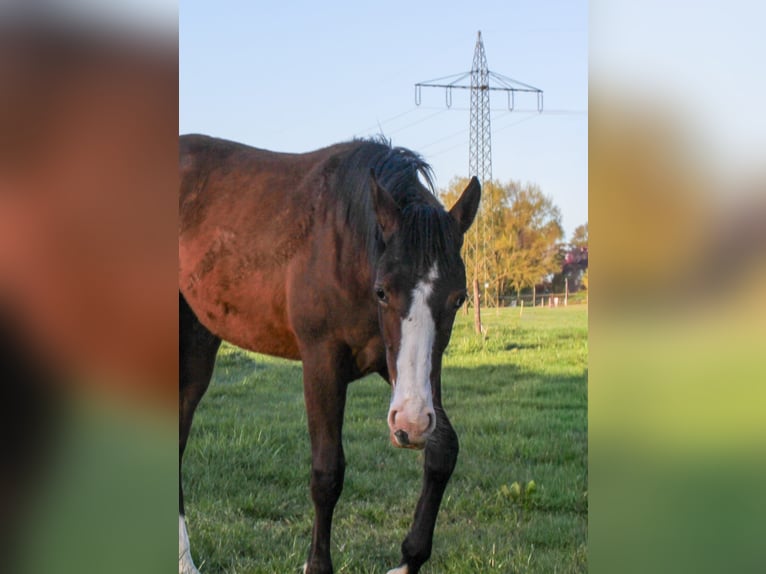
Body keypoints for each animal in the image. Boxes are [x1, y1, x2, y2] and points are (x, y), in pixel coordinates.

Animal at [179, 134, 480, 574]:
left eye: (458, 299)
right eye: (383, 291)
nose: (408, 426)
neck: (349, 244)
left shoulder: (405, 370)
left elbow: (443, 449)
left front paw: (409, 558)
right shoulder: (322, 363)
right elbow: (327, 473)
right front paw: (317, 565)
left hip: (199, 344)